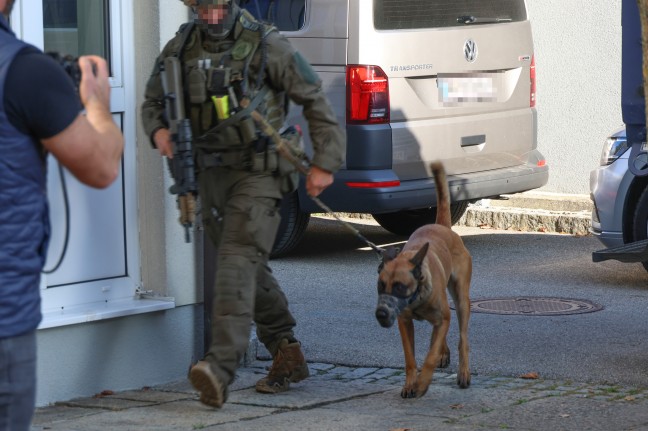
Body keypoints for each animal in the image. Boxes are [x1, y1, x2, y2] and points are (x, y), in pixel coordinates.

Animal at [374, 163, 470, 402]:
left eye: (400, 286)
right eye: (380, 285)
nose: (381, 314)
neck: (417, 298)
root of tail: (443, 227)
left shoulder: (441, 317)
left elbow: (430, 356)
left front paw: (423, 383)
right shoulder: (404, 322)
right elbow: (410, 357)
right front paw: (410, 383)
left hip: (462, 300)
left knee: (463, 338)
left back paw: (463, 372)